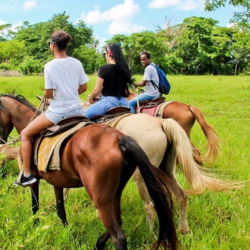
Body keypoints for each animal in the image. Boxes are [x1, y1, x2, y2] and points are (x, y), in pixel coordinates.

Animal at [0, 94, 178, 250]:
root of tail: (118, 138)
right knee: (118, 220)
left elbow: (35, 207)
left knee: (118, 235)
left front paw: (35, 227)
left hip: (100, 198)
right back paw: (99, 243)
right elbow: (60, 209)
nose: (2, 141)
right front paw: (67, 232)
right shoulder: (57, 182)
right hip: (116, 192)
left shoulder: (34, 179)